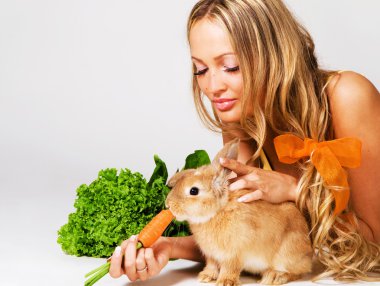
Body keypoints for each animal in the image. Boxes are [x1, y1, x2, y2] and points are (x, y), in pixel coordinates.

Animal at [166, 138, 312, 284]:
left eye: (193, 191)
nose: (168, 204)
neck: (218, 211)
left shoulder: (234, 252)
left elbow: (230, 267)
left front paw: (225, 282)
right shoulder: (211, 254)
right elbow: (212, 264)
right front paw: (205, 276)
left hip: (286, 255)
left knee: (298, 271)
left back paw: (273, 277)